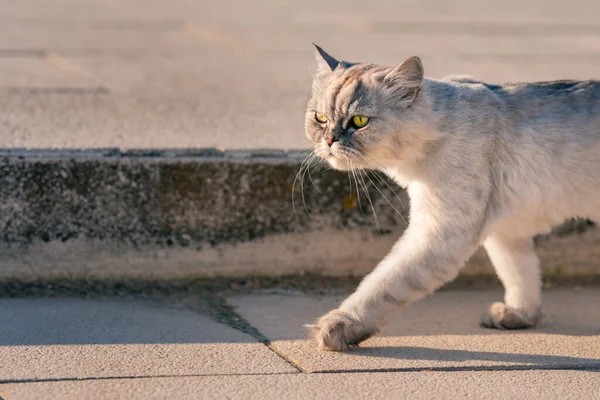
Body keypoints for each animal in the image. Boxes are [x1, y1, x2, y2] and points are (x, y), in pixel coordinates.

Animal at [302, 43, 600, 350]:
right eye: (320, 118)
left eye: (359, 121)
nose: (329, 141)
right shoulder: (504, 230)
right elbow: (519, 274)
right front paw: (519, 314)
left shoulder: (442, 234)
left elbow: (381, 283)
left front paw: (342, 324)